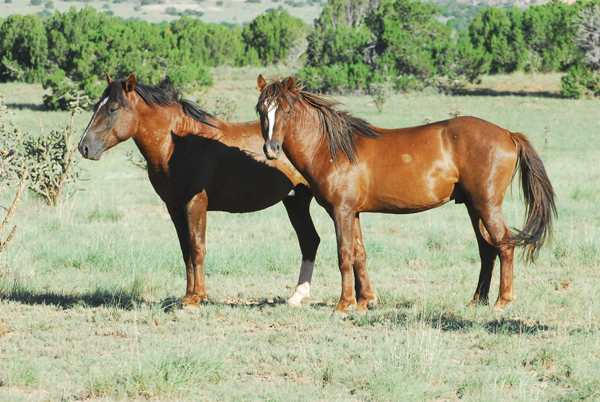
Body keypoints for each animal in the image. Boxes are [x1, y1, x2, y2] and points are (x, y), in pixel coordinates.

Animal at [78, 74, 322, 308]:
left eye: (112, 109)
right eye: (97, 106)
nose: (84, 147)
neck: (177, 145)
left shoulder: (195, 202)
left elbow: (197, 248)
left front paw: (197, 298)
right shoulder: (174, 207)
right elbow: (186, 251)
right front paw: (187, 295)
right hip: (296, 201)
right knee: (309, 240)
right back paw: (297, 297)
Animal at [255, 74, 556, 316]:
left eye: (287, 110)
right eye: (260, 110)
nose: (271, 149)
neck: (332, 149)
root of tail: (508, 133)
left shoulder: (341, 211)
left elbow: (345, 255)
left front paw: (343, 305)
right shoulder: (354, 212)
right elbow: (360, 254)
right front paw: (365, 302)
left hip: (487, 204)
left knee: (504, 244)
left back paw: (502, 301)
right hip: (473, 206)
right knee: (487, 248)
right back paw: (476, 301)